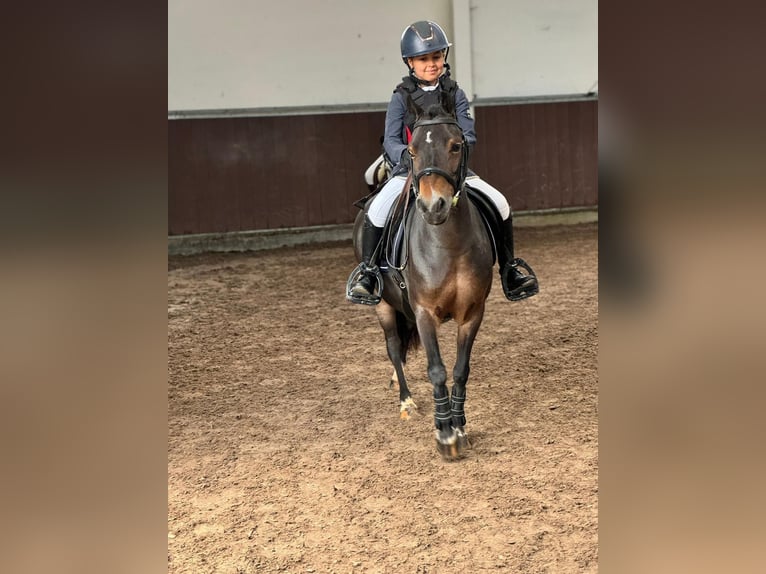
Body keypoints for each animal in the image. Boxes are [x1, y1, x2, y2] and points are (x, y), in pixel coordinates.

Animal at [351, 94, 494, 460]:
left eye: (456, 145)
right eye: (412, 152)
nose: (433, 206)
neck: (447, 243)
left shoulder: (472, 313)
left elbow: (459, 370)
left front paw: (460, 426)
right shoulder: (424, 313)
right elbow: (437, 369)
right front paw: (444, 434)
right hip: (384, 306)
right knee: (393, 347)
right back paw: (406, 401)